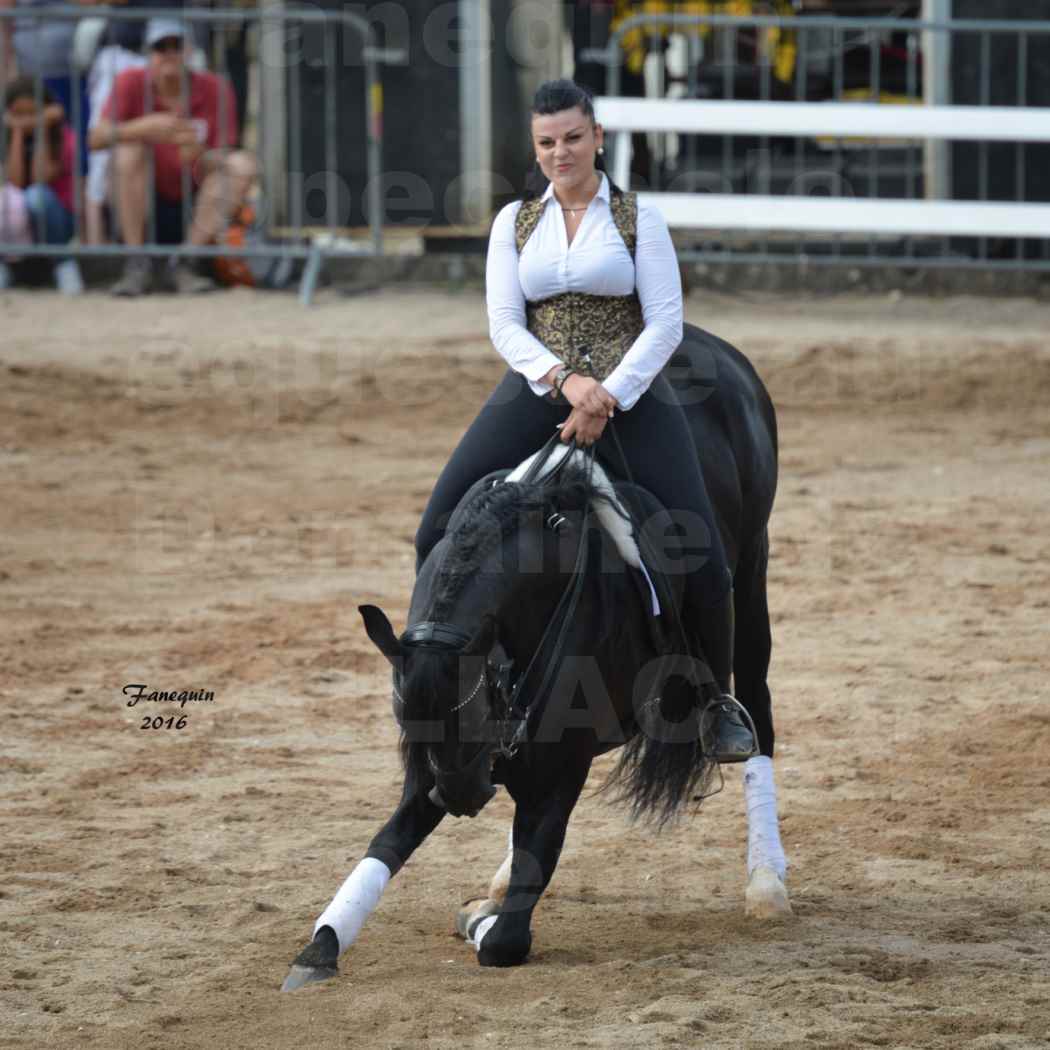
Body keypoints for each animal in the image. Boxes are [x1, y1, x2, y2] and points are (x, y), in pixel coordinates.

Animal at [279, 323, 789, 986]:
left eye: (473, 710)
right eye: (405, 713)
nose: (459, 798)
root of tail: (711, 344)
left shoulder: (559, 766)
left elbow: (509, 931)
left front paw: (482, 917)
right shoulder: (432, 767)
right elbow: (386, 844)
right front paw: (321, 945)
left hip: (750, 579)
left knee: (756, 713)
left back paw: (767, 884)